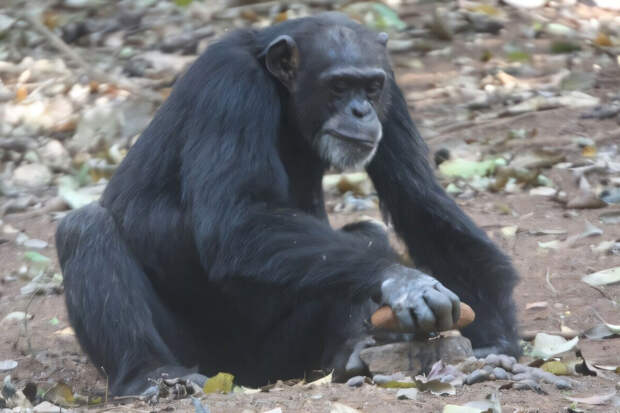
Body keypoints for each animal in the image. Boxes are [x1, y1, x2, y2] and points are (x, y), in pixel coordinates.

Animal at [54, 11, 520, 394]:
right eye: (338, 86)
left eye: (371, 87)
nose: (361, 111)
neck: (281, 91)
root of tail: (240, 374)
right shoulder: (231, 87)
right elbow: (237, 221)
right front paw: (403, 280)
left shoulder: (395, 96)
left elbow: (418, 200)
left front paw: (497, 337)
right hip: (199, 353)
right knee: (84, 228)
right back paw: (151, 374)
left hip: (283, 353)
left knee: (365, 234)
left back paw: (350, 352)